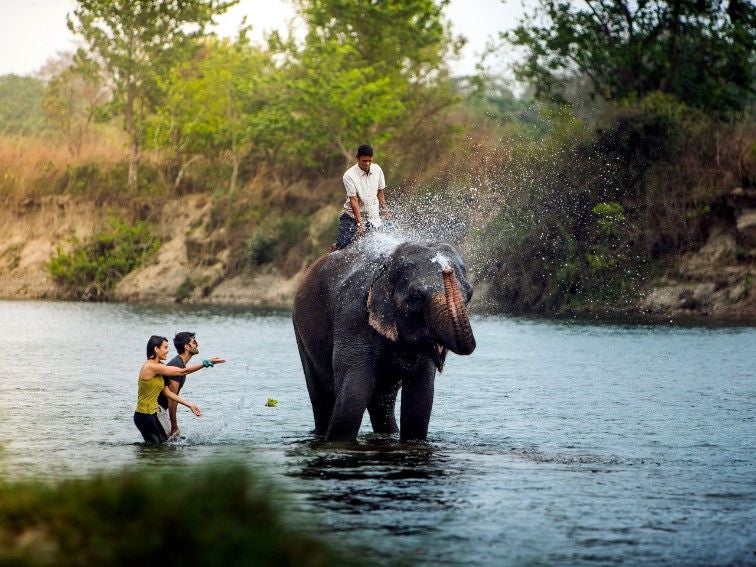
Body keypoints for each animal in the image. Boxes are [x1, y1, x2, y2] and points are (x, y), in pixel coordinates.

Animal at [292, 236, 476, 444]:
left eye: (469, 294)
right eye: (415, 296)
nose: (446, 270)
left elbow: (421, 397)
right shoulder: (353, 317)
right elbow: (354, 391)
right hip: (300, 331)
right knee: (321, 395)